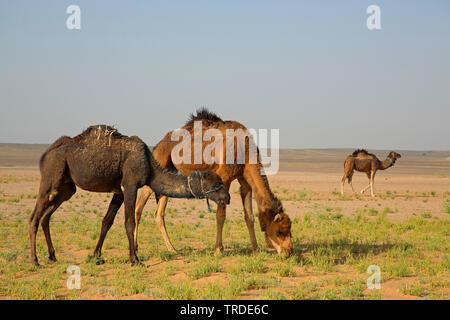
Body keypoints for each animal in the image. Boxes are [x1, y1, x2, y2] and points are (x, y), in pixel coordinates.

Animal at [29, 125, 230, 264]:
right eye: (217, 184)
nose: (227, 198)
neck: (149, 165)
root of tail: (46, 154)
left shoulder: (118, 191)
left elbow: (107, 222)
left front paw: (96, 255)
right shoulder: (130, 185)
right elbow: (129, 222)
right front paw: (135, 259)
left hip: (67, 188)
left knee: (46, 216)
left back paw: (52, 256)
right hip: (50, 177)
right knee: (34, 217)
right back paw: (35, 260)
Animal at [132, 110, 294, 258]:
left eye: (290, 230)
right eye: (280, 231)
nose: (288, 252)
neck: (245, 150)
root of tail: (159, 144)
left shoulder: (245, 180)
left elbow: (249, 216)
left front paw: (255, 249)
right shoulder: (224, 178)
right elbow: (220, 216)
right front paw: (218, 249)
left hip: (169, 175)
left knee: (159, 213)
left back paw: (173, 249)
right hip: (158, 164)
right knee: (138, 207)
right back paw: (136, 247)